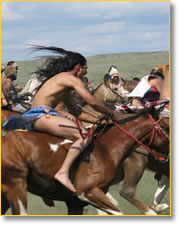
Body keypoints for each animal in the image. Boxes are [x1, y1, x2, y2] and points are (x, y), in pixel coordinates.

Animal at [1, 113, 169, 215]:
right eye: (166, 128)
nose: (167, 157)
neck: (106, 148)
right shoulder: (87, 192)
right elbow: (118, 210)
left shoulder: (75, 203)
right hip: (16, 187)